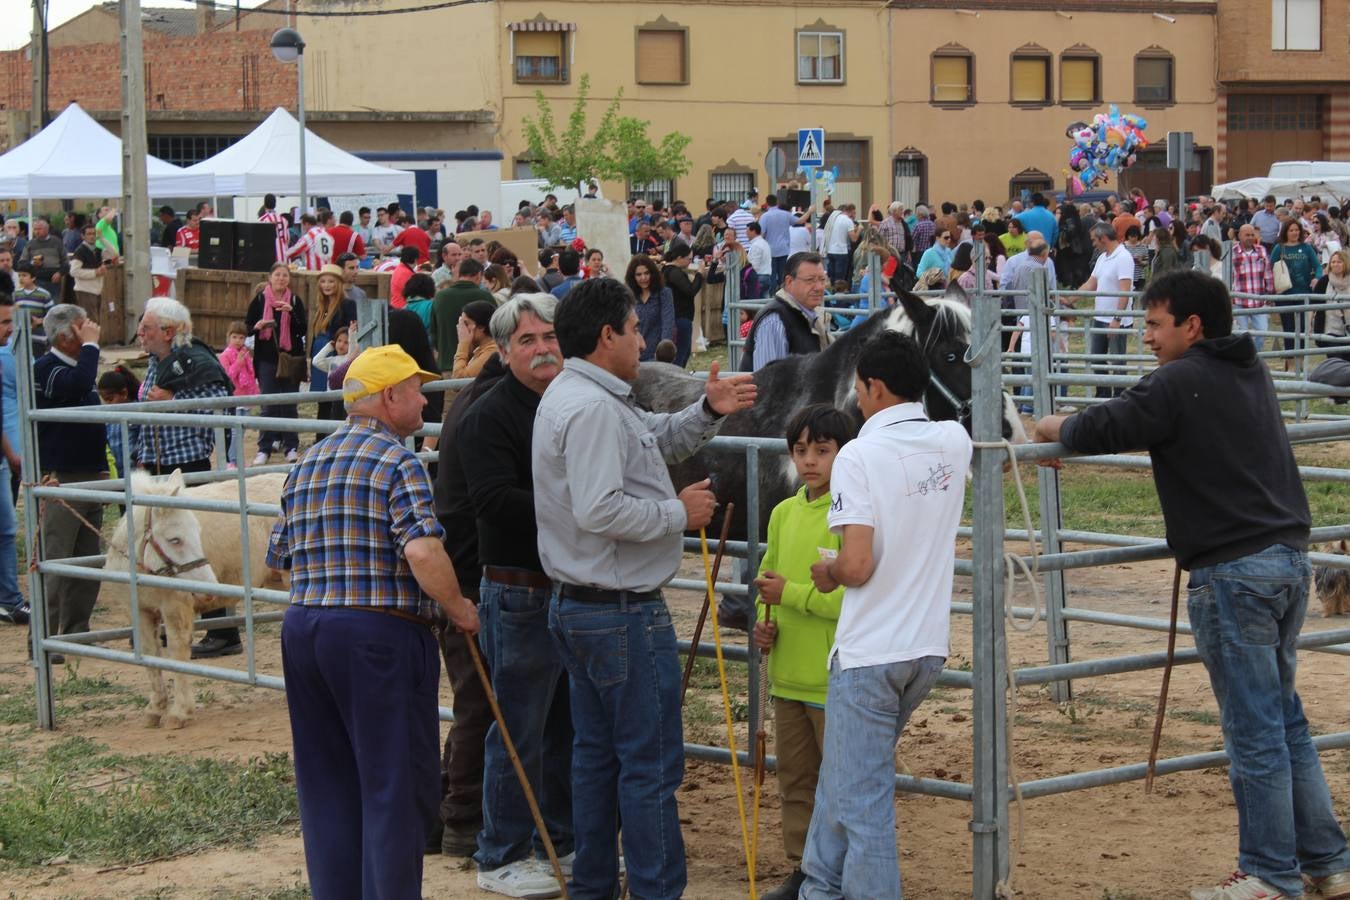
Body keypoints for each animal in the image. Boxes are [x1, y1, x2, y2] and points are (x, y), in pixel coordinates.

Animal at [106, 469, 291, 728]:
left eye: (197, 533)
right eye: (175, 539)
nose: (209, 586)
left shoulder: (176, 607)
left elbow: (177, 653)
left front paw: (179, 713)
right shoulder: (140, 610)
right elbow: (151, 655)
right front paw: (154, 709)